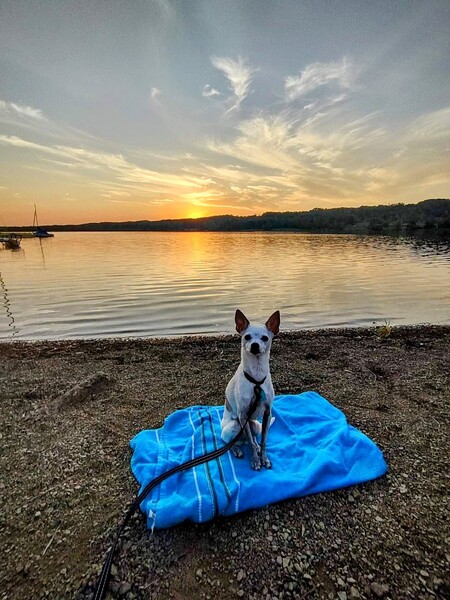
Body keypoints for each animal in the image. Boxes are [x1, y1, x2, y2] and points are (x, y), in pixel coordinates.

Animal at [220, 312, 280, 472]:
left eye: (265, 338)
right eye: (247, 337)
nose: (254, 345)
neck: (256, 379)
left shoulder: (267, 413)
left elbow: (264, 440)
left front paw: (263, 458)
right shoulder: (243, 415)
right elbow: (250, 443)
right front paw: (255, 461)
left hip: (255, 425)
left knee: (252, 438)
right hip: (233, 426)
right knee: (228, 442)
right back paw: (236, 450)